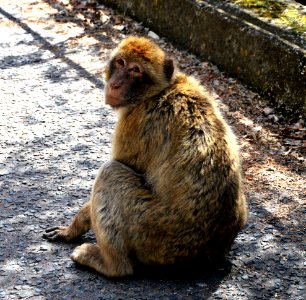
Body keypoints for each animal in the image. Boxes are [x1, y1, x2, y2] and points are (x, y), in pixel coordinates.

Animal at [44, 36, 247, 278]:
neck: (158, 91)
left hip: (154, 233)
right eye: (120, 63)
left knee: (111, 173)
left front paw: (72, 229)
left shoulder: (135, 122)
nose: (115, 84)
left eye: (135, 70)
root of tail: (207, 256)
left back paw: (111, 264)